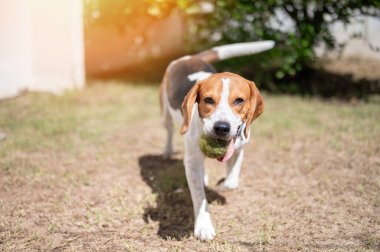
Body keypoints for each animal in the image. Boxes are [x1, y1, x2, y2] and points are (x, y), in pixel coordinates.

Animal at [160, 40, 274, 240]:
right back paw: (167, 151)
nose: (221, 128)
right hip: (166, 113)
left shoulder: (240, 147)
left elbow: (232, 179)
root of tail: (190, 57)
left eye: (239, 100)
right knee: (168, 131)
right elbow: (199, 197)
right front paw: (203, 226)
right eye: (208, 100)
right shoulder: (191, 161)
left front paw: (224, 184)